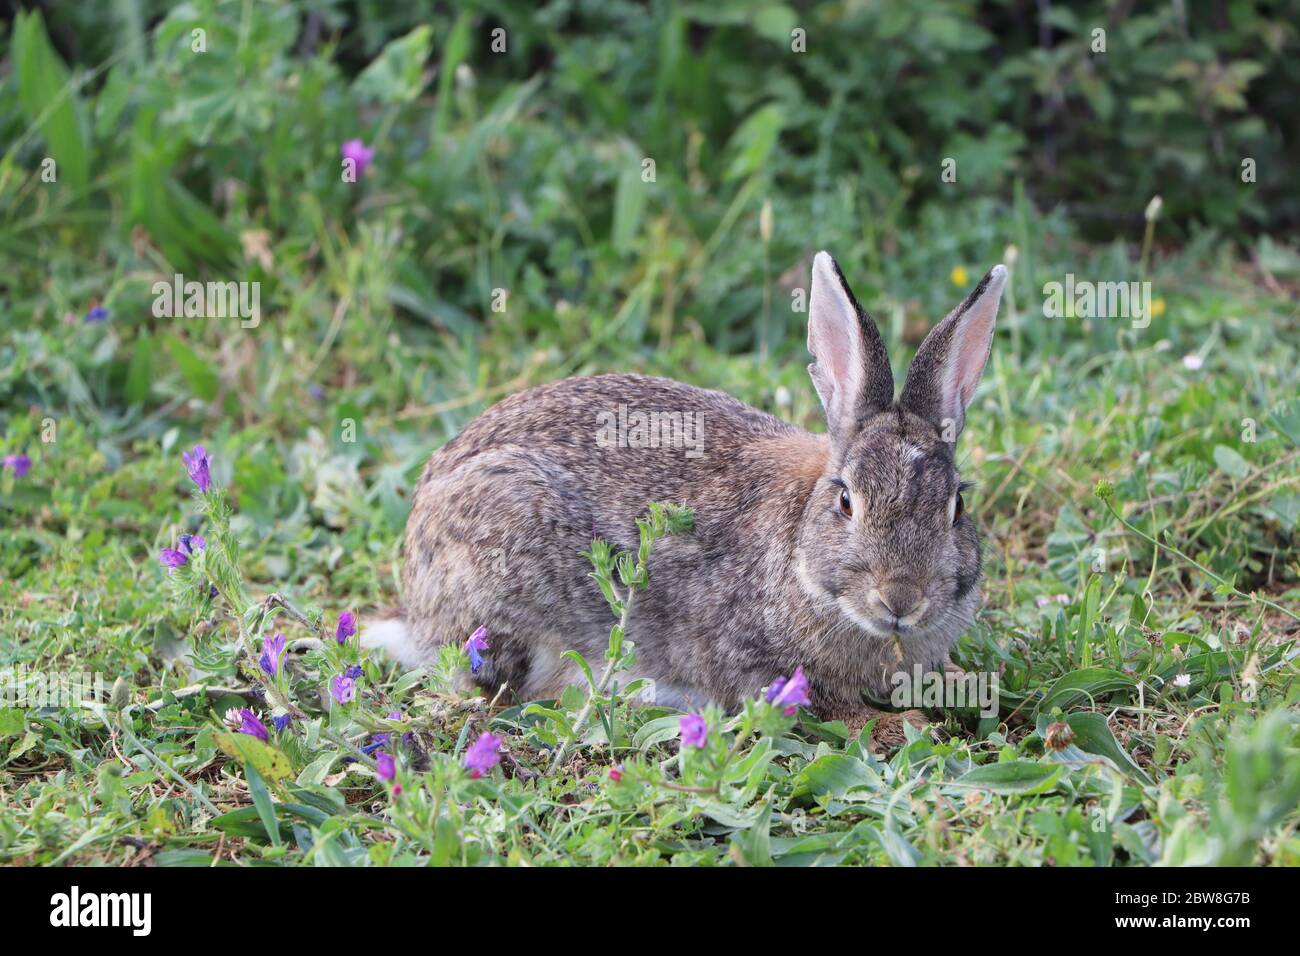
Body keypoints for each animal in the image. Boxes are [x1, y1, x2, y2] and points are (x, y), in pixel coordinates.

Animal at [366, 251, 1003, 738]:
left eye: (956, 506)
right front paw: (908, 725)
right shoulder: (754, 665)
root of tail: (415, 605)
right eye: (847, 501)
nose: (900, 599)